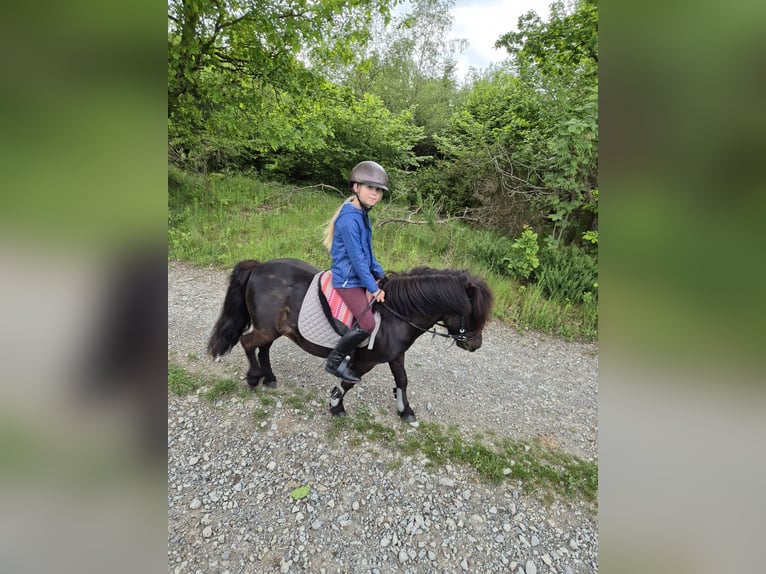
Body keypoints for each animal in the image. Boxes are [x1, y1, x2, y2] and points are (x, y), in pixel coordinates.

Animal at [206, 258, 492, 426]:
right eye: (472, 312)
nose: (475, 344)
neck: (396, 313)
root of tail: (258, 266)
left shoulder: (395, 356)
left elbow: (402, 380)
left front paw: (406, 411)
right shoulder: (366, 361)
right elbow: (347, 382)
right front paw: (336, 406)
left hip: (274, 329)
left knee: (262, 348)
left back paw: (269, 377)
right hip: (266, 328)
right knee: (247, 343)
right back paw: (254, 378)